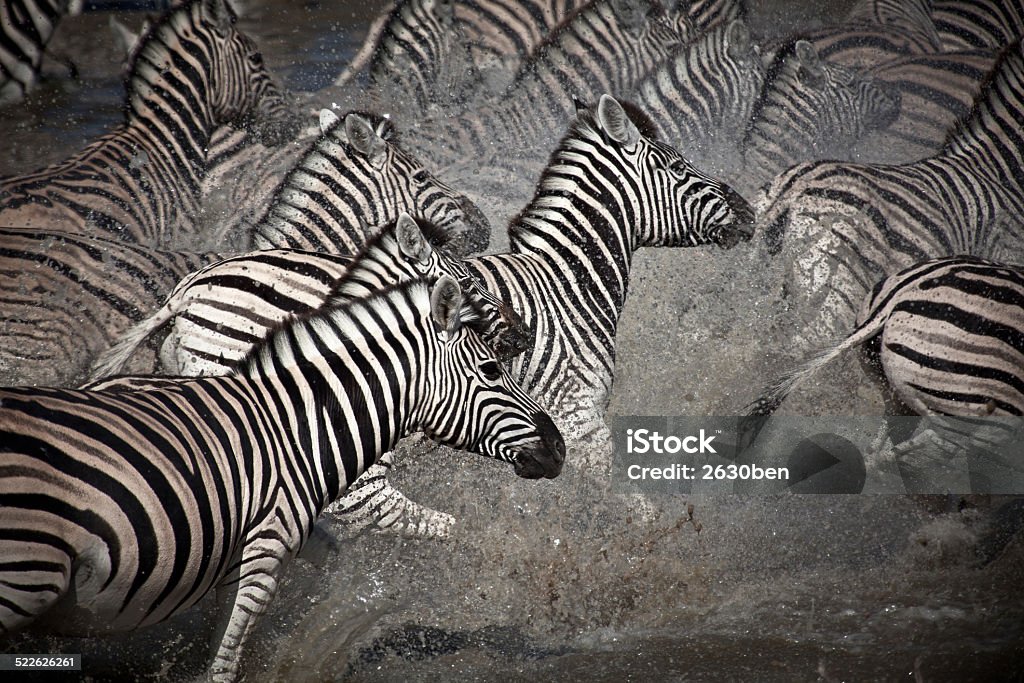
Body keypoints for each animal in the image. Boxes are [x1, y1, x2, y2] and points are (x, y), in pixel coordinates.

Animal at [753, 38, 1024, 356]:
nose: (897, 95)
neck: (994, 167)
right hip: (836, 294)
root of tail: (791, 190)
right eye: (852, 81)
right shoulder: (1005, 254)